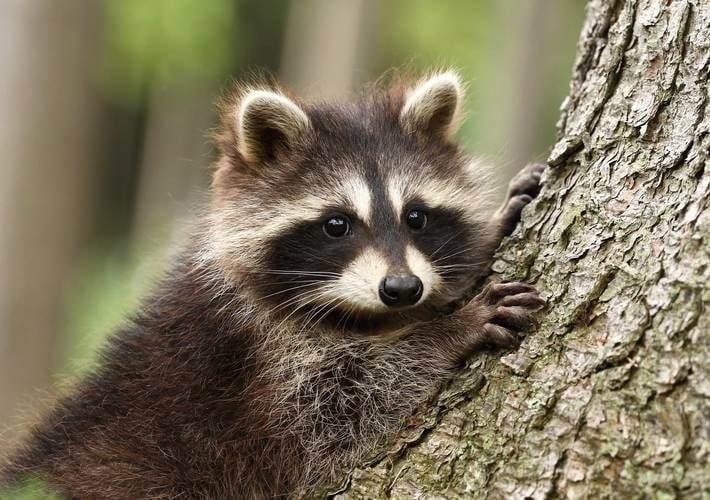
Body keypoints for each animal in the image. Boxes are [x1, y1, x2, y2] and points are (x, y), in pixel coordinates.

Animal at [0, 69, 548, 496]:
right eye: (336, 224)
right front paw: (445, 331)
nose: (401, 289)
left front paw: (487, 235)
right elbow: (345, 408)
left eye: (416, 217)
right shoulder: (261, 367)